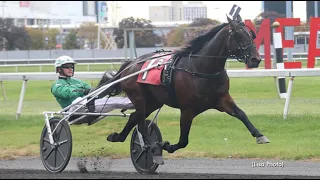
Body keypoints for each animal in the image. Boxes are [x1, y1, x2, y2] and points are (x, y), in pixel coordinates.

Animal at [97, 15, 270, 165]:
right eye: (239, 35)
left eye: (251, 35)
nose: (255, 59)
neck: (202, 68)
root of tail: (130, 65)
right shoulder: (187, 109)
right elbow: (183, 140)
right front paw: (165, 145)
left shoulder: (222, 99)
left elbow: (241, 114)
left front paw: (260, 135)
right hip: (139, 97)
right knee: (141, 124)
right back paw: (152, 147)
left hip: (153, 101)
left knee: (134, 117)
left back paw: (118, 137)